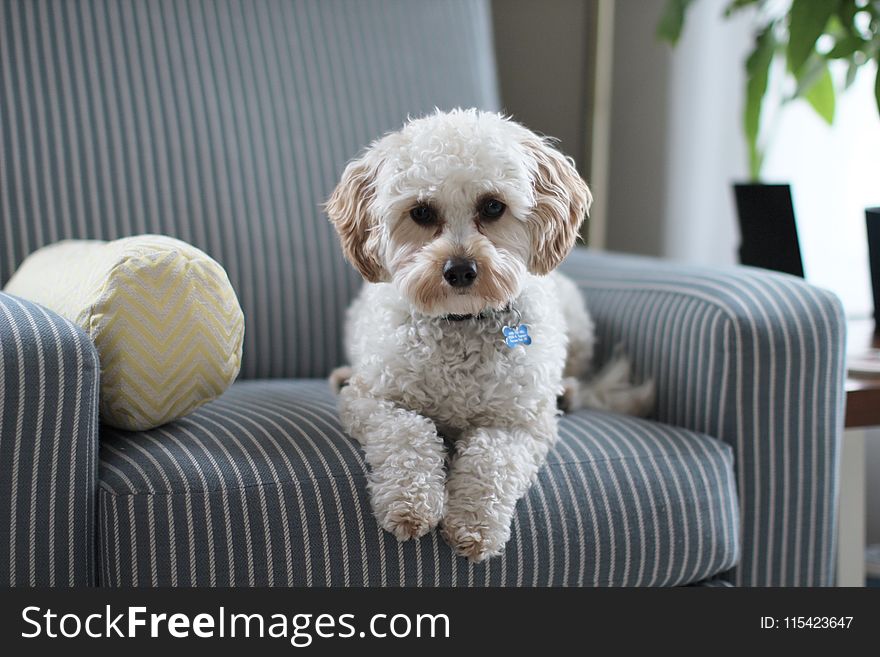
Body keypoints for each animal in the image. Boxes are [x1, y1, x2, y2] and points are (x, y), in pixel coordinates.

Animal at [324, 109, 652, 560]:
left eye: (493, 206)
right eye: (421, 212)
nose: (460, 270)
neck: (461, 322)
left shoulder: (517, 423)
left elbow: (490, 460)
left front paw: (473, 523)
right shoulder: (373, 401)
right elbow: (409, 434)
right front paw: (410, 503)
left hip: (578, 326)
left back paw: (567, 391)